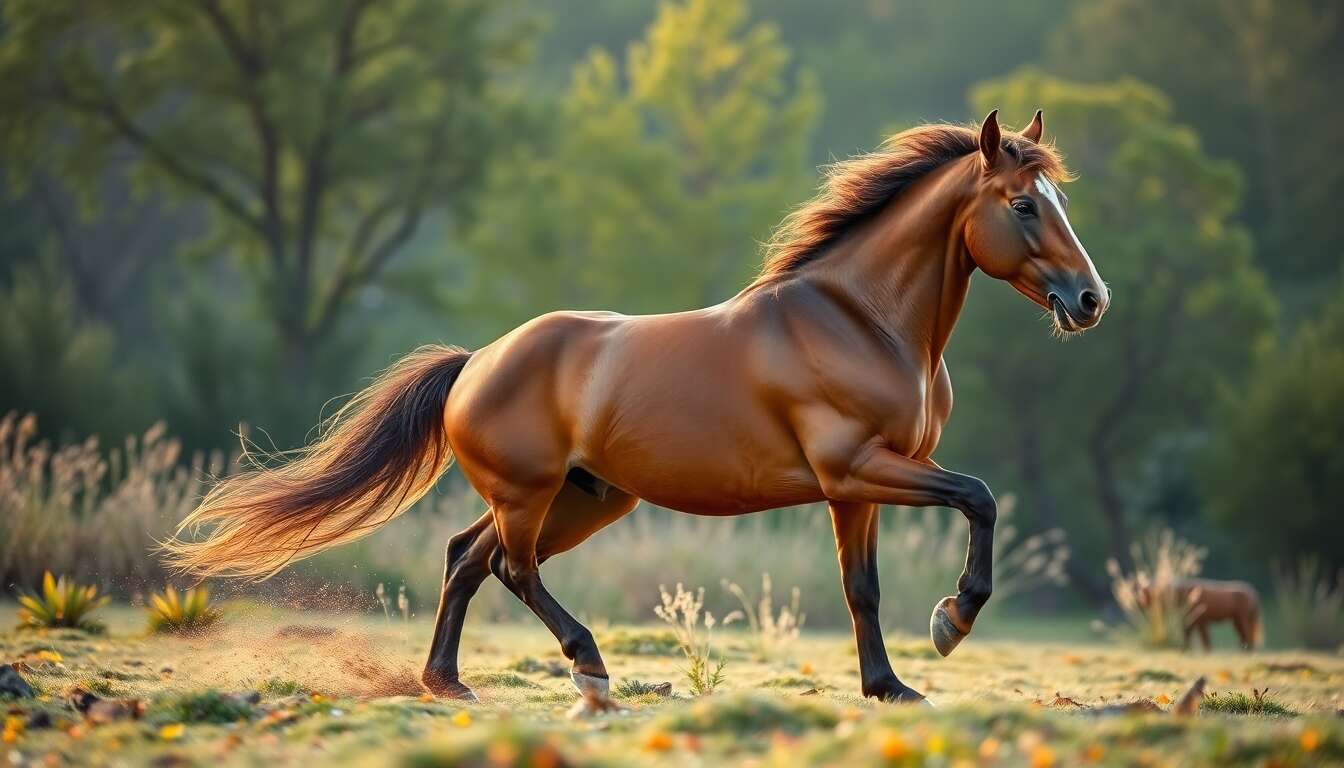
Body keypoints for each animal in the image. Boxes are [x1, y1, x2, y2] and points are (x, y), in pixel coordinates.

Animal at [166, 109, 1108, 704]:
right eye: (1023, 205)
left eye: (1060, 200)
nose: (1090, 300)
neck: (861, 319)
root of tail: (477, 362)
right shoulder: (859, 470)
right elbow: (978, 498)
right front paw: (952, 621)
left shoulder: (860, 487)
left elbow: (863, 589)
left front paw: (891, 685)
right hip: (531, 496)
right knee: (511, 569)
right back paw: (588, 668)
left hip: (581, 499)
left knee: (466, 558)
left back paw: (447, 681)